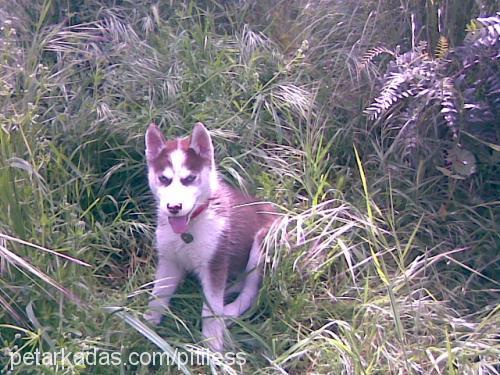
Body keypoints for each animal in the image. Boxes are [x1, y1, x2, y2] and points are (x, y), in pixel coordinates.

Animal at [144, 122, 278, 352]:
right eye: (164, 179)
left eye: (189, 179)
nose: (174, 207)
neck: (190, 227)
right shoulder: (169, 261)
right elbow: (158, 296)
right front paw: (146, 326)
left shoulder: (215, 263)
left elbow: (211, 310)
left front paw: (212, 345)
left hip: (261, 245)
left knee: (250, 292)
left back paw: (228, 312)